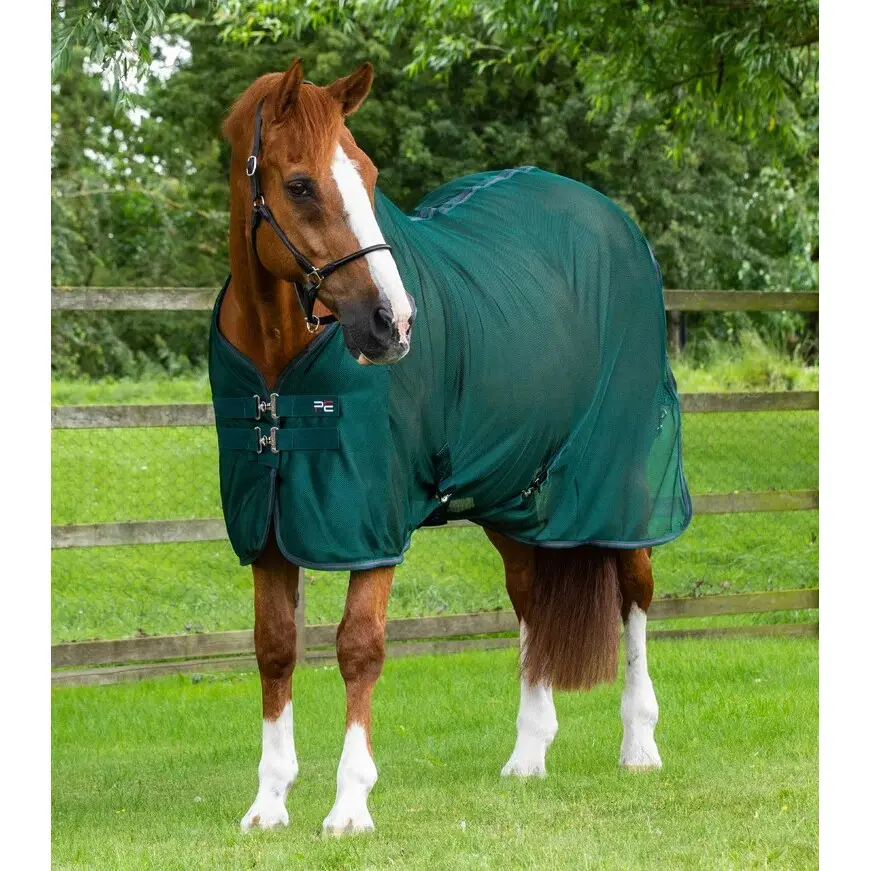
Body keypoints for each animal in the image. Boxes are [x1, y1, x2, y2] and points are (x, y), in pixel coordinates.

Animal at [215, 58, 689, 835]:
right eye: (300, 184)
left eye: (368, 174)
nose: (393, 323)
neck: (280, 373)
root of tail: (612, 220)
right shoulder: (270, 523)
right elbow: (275, 647)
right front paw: (268, 803)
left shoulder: (369, 520)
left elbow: (359, 646)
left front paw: (349, 805)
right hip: (516, 498)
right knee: (530, 600)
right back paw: (528, 754)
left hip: (619, 489)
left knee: (636, 596)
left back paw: (640, 743)